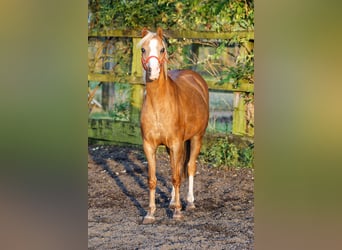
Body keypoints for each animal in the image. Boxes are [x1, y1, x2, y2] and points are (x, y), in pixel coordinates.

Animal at [138, 27, 208, 223]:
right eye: (143, 49)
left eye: (162, 49)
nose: (153, 71)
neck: (159, 105)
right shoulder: (149, 146)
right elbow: (153, 179)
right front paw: (150, 213)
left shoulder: (177, 144)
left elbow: (177, 177)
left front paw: (177, 211)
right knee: (174, 167)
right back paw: (171, 201)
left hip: (197, 138)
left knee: (190, 167)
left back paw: (189, 202)